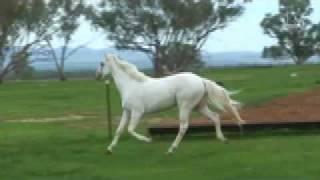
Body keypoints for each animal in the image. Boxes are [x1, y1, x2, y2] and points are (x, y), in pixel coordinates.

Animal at [95, 54, 245, 154]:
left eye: (102, 63)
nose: (97, 76)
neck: (130, 85)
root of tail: (200, 80)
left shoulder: (137, 112)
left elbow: (130, 129)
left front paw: (148, 140)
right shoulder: (127, 112)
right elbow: (119, 130)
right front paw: (109, 150)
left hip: (185, 106)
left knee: (184, 126)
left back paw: (171, 149)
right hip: (199, 107)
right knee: (215, 117)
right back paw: (223, 139)